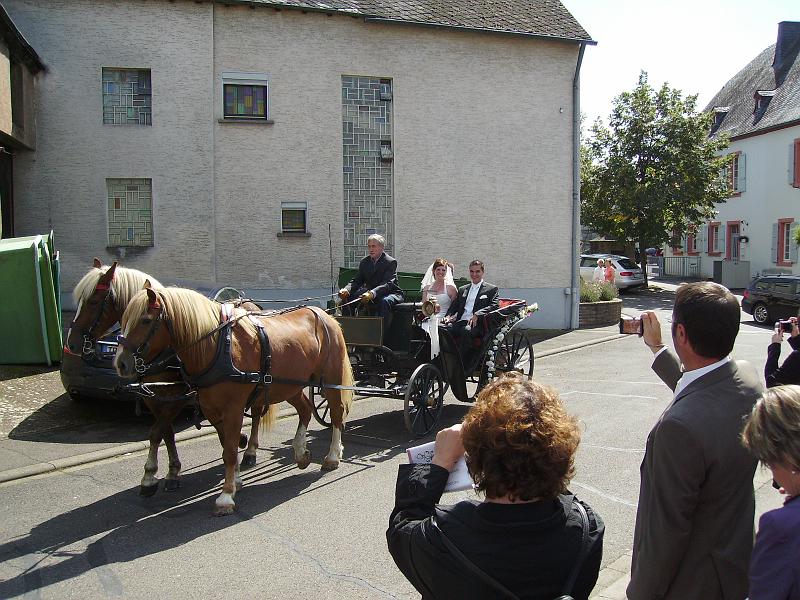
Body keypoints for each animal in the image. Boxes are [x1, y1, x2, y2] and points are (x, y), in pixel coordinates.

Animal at [66, 260, 272, 494]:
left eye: (93, 301)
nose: (71, 343)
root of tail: (249, 303)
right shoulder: (154, 396)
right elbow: (165, 432)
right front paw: (171, 471)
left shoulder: (180, 395)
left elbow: (157, 431)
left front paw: (150, 475)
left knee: (256, 414)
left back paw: (250, 450)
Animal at [114, 286, 352, 516]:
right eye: (123, 319)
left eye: (145, 320)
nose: (120, 363)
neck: (217, 346)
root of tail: (325, 315)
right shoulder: (212, 410)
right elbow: (224, 446)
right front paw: (236, 480)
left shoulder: (232, 409)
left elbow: (228, 450)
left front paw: (226, 496)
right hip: (289, 385)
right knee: (305, 410)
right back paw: (301, 453)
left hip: (330, 379)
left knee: (336, 413)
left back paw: (332, 456)